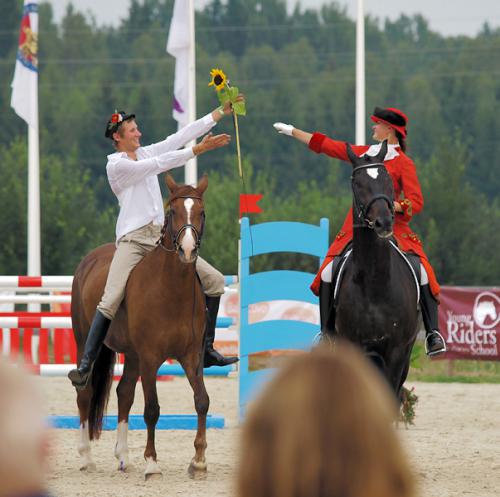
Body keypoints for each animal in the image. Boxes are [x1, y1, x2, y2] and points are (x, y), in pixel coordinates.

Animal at [71, 173, 208, 476]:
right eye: (172, 212)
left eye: (201, 212)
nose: (188, 249)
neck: (172, 288)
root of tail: (88, 260)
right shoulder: (150, 357)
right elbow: (152, 409)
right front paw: (152, 462)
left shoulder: (191, 356)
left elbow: (202, 401)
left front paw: (199, 461)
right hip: (85, 341)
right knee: (85, 392)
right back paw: (85, 457)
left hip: (132, 354)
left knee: (124, 393)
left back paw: (123, 457)